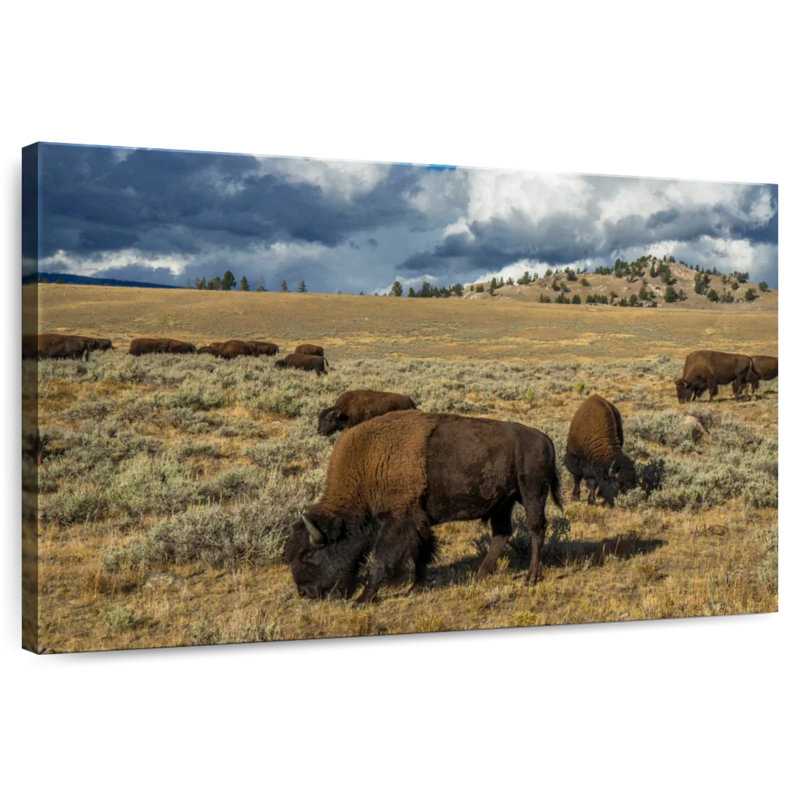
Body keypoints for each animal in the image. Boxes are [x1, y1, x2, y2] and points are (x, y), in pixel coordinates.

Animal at [285, 410, 563, 603]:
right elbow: (421, 553)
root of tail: (545, 438)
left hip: (532, 494)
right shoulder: (419, 521)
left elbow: (383, 559)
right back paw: (480, 575)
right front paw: (414, 588)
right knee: (502, 534)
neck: (369, 465)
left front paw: (364, 598)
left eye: (308, 556)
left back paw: (530, 578)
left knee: (536, 529)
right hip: (502, 503)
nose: (305, 592)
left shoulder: (399, 521)